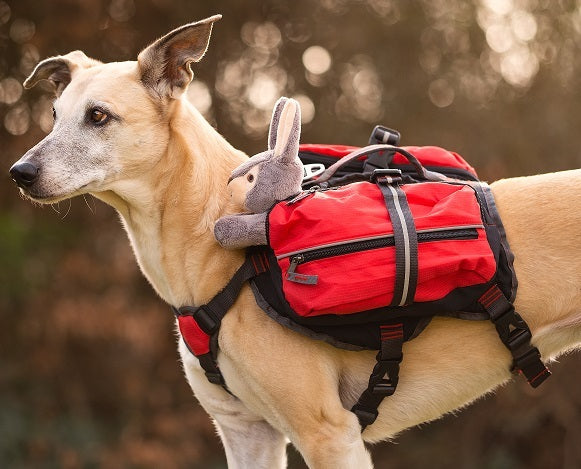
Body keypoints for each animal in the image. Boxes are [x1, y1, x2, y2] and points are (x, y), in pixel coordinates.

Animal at [9, 16, 580, 466]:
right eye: (55, 116)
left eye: (98, 116)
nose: (19, 173)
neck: (215, 239)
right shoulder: (247, 434)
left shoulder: (329, 435)